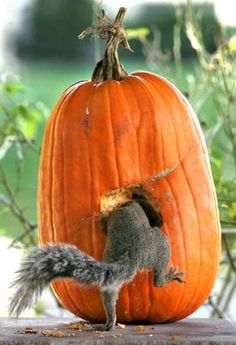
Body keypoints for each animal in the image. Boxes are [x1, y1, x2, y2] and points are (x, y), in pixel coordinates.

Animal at [9, 200, 185, 330]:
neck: (126, 208)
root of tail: (132, 256)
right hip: (161, 244)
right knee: (157, 280)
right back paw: (170, 277)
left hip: (111, 280)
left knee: (109, 296)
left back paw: (108, 324)